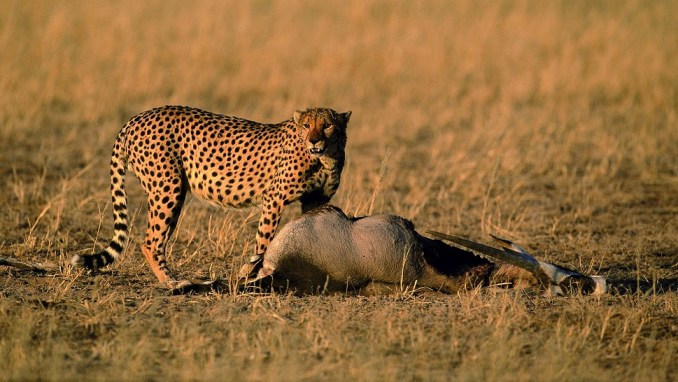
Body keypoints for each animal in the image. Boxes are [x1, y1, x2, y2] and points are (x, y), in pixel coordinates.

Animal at [71, 104, 354, 290]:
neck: (324, 158)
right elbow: (263, 241)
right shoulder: (274, 199)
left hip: (173, 192)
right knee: (150, 241)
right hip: (168, 188)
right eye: (306, 126)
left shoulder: (315, 201)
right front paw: (251, 272)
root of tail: (137, 117)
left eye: (328, 125)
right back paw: (170, 281)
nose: (314, 140)